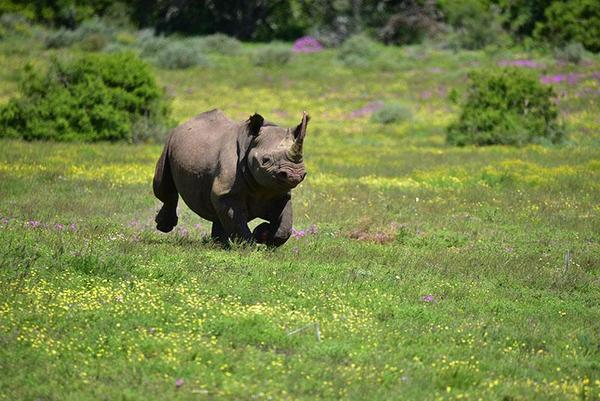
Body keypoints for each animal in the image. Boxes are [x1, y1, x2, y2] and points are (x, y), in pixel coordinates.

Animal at [152, 109, 310, 247]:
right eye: (265, 160)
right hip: (169, 143)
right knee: (162, 187)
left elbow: (285, 225)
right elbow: (237, 222)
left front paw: (263, 234)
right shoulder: (229, 192)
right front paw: (249, 246)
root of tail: (184, 123)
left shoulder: (279, 191)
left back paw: (219, 245)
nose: (294, 174)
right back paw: (164, 227)